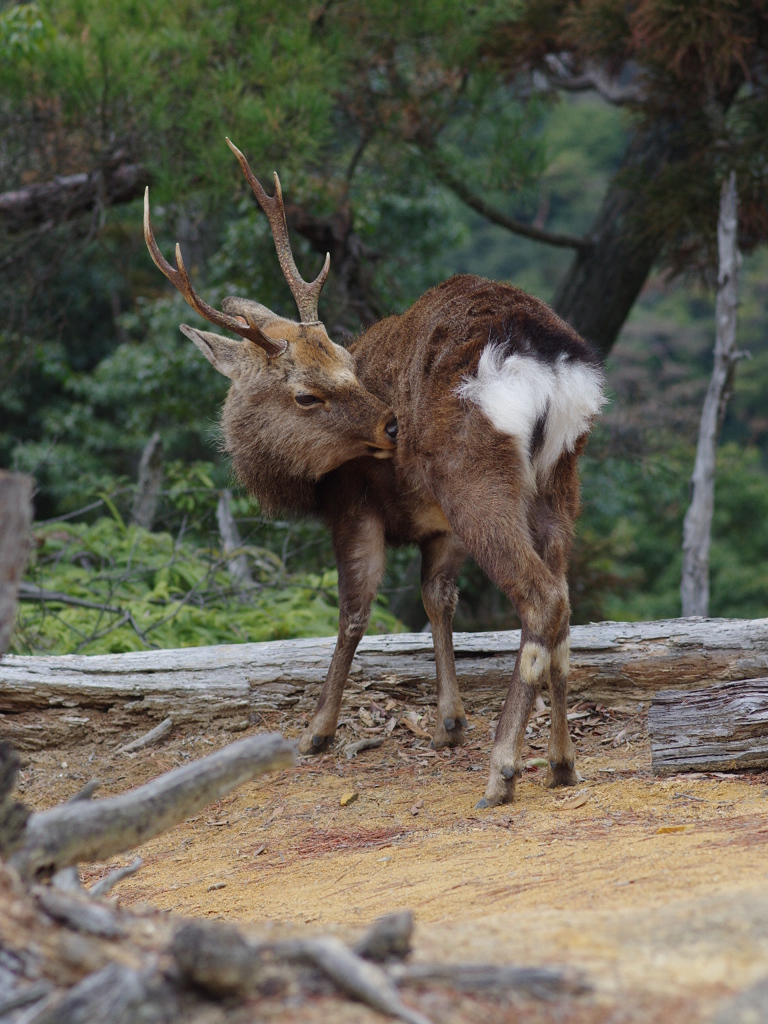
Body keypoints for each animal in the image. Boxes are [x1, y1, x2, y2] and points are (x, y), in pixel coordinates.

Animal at [144, 140, 606, 806]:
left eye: (343, 368)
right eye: (310, 390)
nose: (392, 427)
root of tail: (546, 358)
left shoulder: (352, 500)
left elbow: (353, 609)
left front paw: (316, 730)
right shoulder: (438, 526)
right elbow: (438, 598)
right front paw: (448, 723)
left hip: (475, 475)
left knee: (540, 598)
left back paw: (501, 771)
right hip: (561, 477)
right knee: (565, 599)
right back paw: (563, 763)